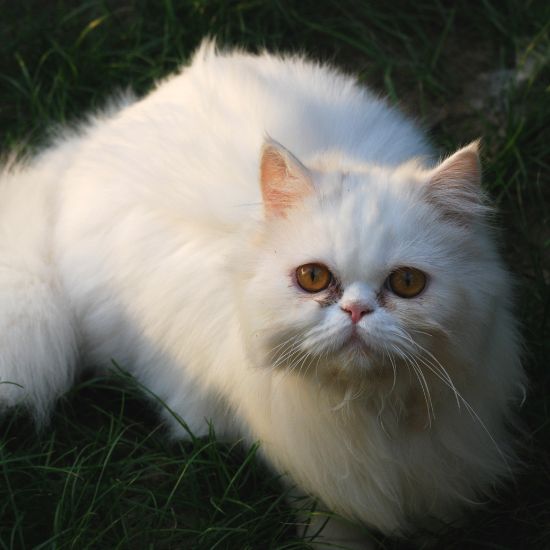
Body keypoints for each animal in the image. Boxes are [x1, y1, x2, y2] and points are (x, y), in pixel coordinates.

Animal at [0, 42, 528, 548]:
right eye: (313, 277)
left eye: (407, 284)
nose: (357, 311)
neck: (367, 411)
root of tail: (92, 139)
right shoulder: (308, 463)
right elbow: (326, 517)